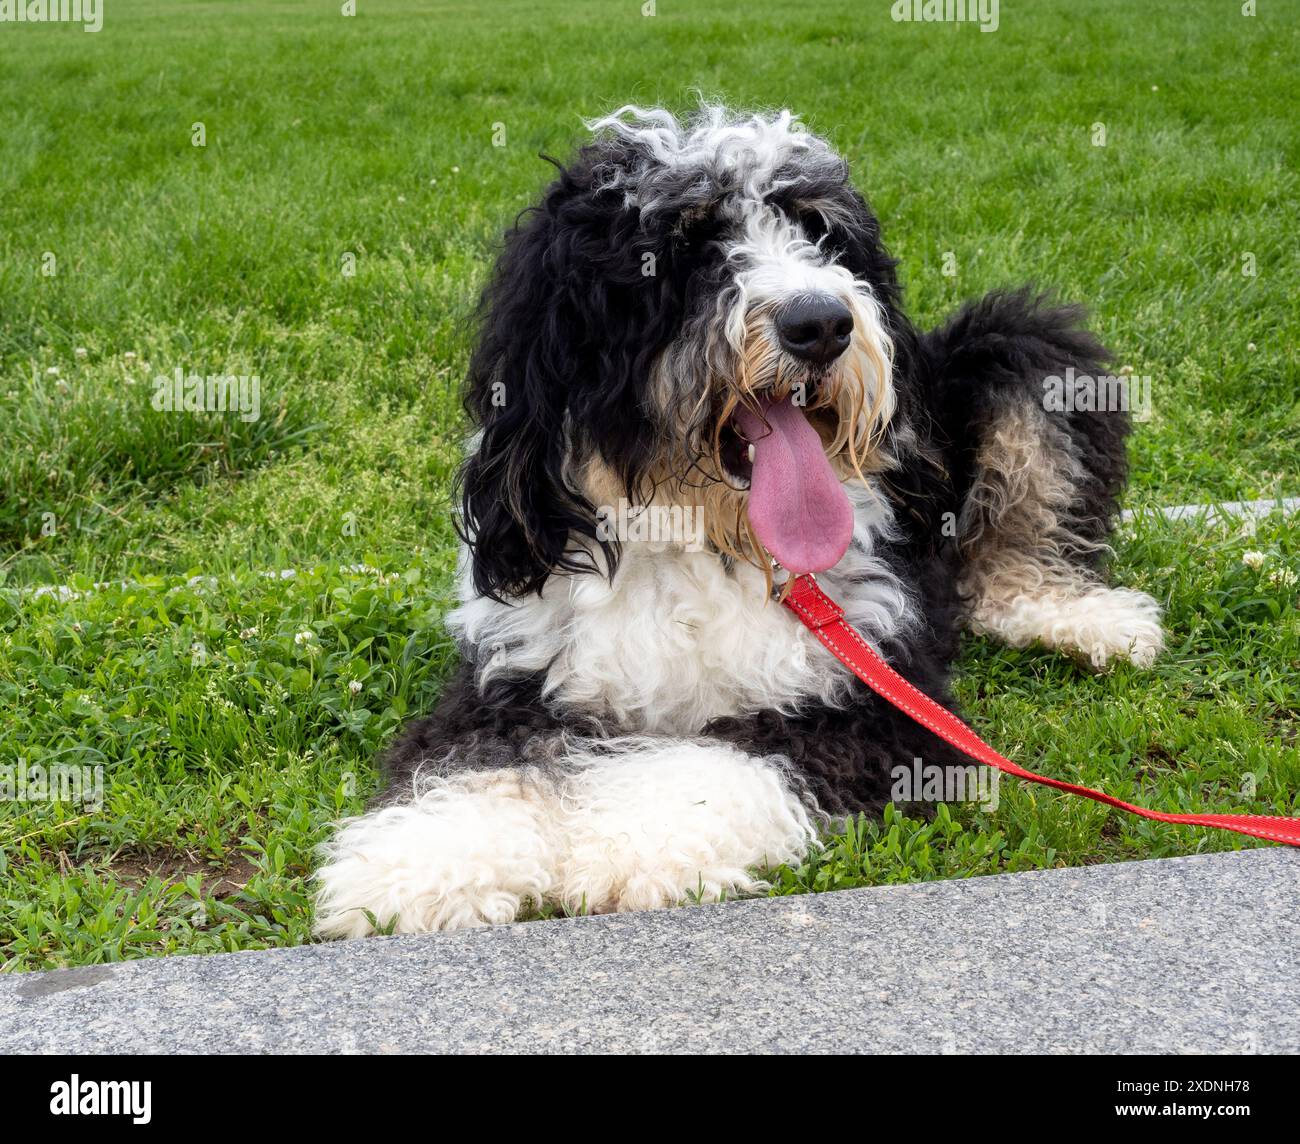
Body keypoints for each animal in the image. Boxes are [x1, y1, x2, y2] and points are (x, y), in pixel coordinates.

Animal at [314, 105, 1170, 935]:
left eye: (820, 231)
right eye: (685, 246)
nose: (820, 323)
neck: (702, 538)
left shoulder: (872, 700)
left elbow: (716, 764)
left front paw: (627, 848)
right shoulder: (515, 678)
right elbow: (476, 766)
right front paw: (420, 870)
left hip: (1024, 353)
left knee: (1013, 556)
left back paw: (1084, 620)